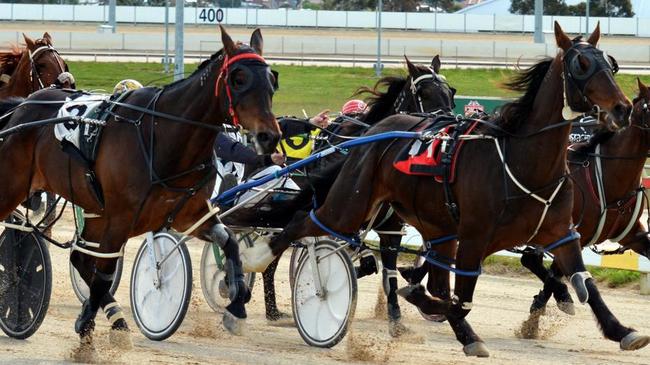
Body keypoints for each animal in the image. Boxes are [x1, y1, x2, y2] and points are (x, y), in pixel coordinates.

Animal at [0, 26, 278, 342]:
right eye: (238, 78)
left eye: (272, 79)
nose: (269, 136)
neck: (165, 136)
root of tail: (20, 108)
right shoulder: (121, 217)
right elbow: (104, 274)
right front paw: (88, 324)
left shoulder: (189, 215)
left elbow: (230, 242)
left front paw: (237, 306)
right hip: (13, 187)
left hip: (94, 208)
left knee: (80, 258)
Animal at [240, 22, 644, 356]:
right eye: (581, 65)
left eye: (611, 64)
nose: (621, 108)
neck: (523, 160)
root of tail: (374, 133)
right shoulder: (475, 235)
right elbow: (458, 297)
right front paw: (432, 309)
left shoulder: (562, 232)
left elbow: (584, 283)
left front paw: (621, 330)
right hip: (351, 205)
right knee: (301, 224)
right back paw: (261, 265)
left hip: (435, 226)